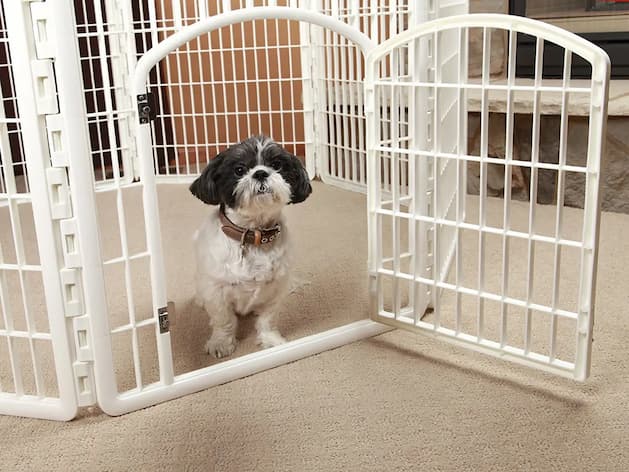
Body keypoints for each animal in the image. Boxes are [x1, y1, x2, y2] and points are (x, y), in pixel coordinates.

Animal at [189, 136, 312, 358]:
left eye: (277, 165)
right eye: (239, 170)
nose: (261, 173)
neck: (253, 233)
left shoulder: (275, 291)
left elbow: (268, 319)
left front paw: (271, 340)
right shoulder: (217, 292)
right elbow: (224, 320)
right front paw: (221, 343)